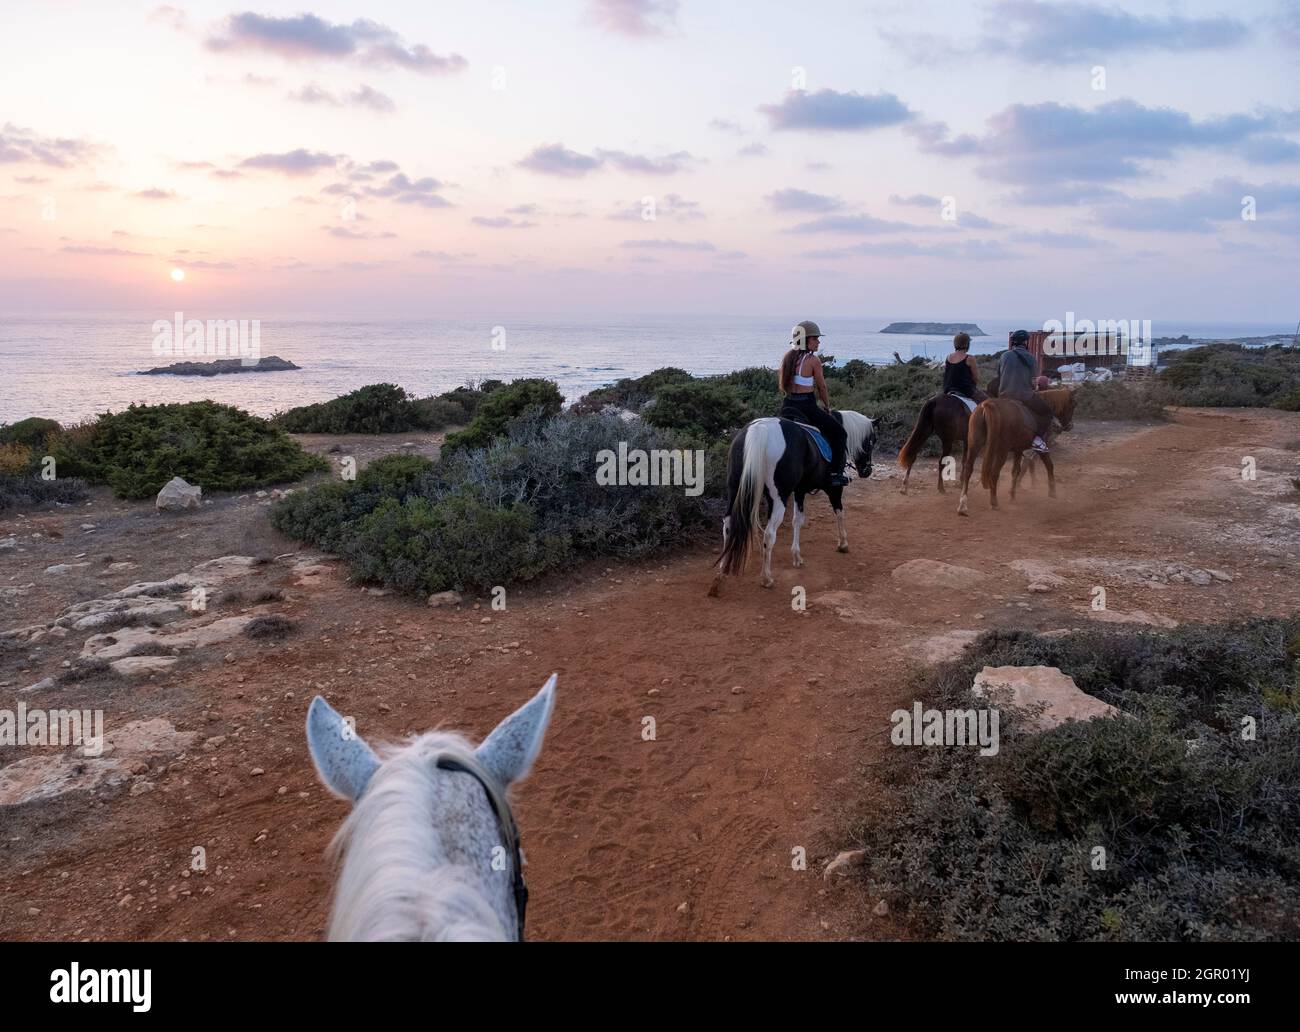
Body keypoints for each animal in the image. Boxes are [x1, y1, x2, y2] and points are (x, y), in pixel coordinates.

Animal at [707, 405, 878, 590]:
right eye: (872, 441)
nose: (867, 471)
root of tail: (759, 430)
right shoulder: (833, 488)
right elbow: (839, 512)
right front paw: (843, 544)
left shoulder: (800, 490)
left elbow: (797, 520)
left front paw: (796, 556)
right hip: (778, 497)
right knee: (769, 534)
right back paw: (766, 578)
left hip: (734, 490)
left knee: (728, 525)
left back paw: (723, 570)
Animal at [956, 384, 1076, 514]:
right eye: (1074, 405)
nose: (1069, 426)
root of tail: (988, 406)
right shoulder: (1041, 447)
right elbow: (1048, 464)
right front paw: (1052, 491)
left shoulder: (1018, 450)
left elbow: (1017, 470)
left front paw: (1013, 494)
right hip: (1001, 451)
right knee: (994, 473)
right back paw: (994, 502)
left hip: (974, 446)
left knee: (968, 469)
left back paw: (963, 503)